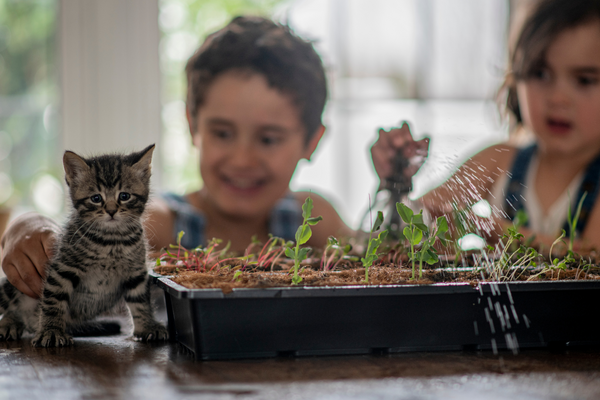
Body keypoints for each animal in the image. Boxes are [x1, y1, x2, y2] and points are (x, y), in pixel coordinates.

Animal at [0, 145, 168, 346]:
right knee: (10, 307)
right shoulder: (63, 267)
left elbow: (141, 301)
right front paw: (51, 330)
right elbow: (53, 300)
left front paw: (147, 327)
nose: (111, 211)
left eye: (124, 196)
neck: (111, 241)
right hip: (10, 286)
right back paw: (9, 323)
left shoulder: (136, 272)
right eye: (96, 198)